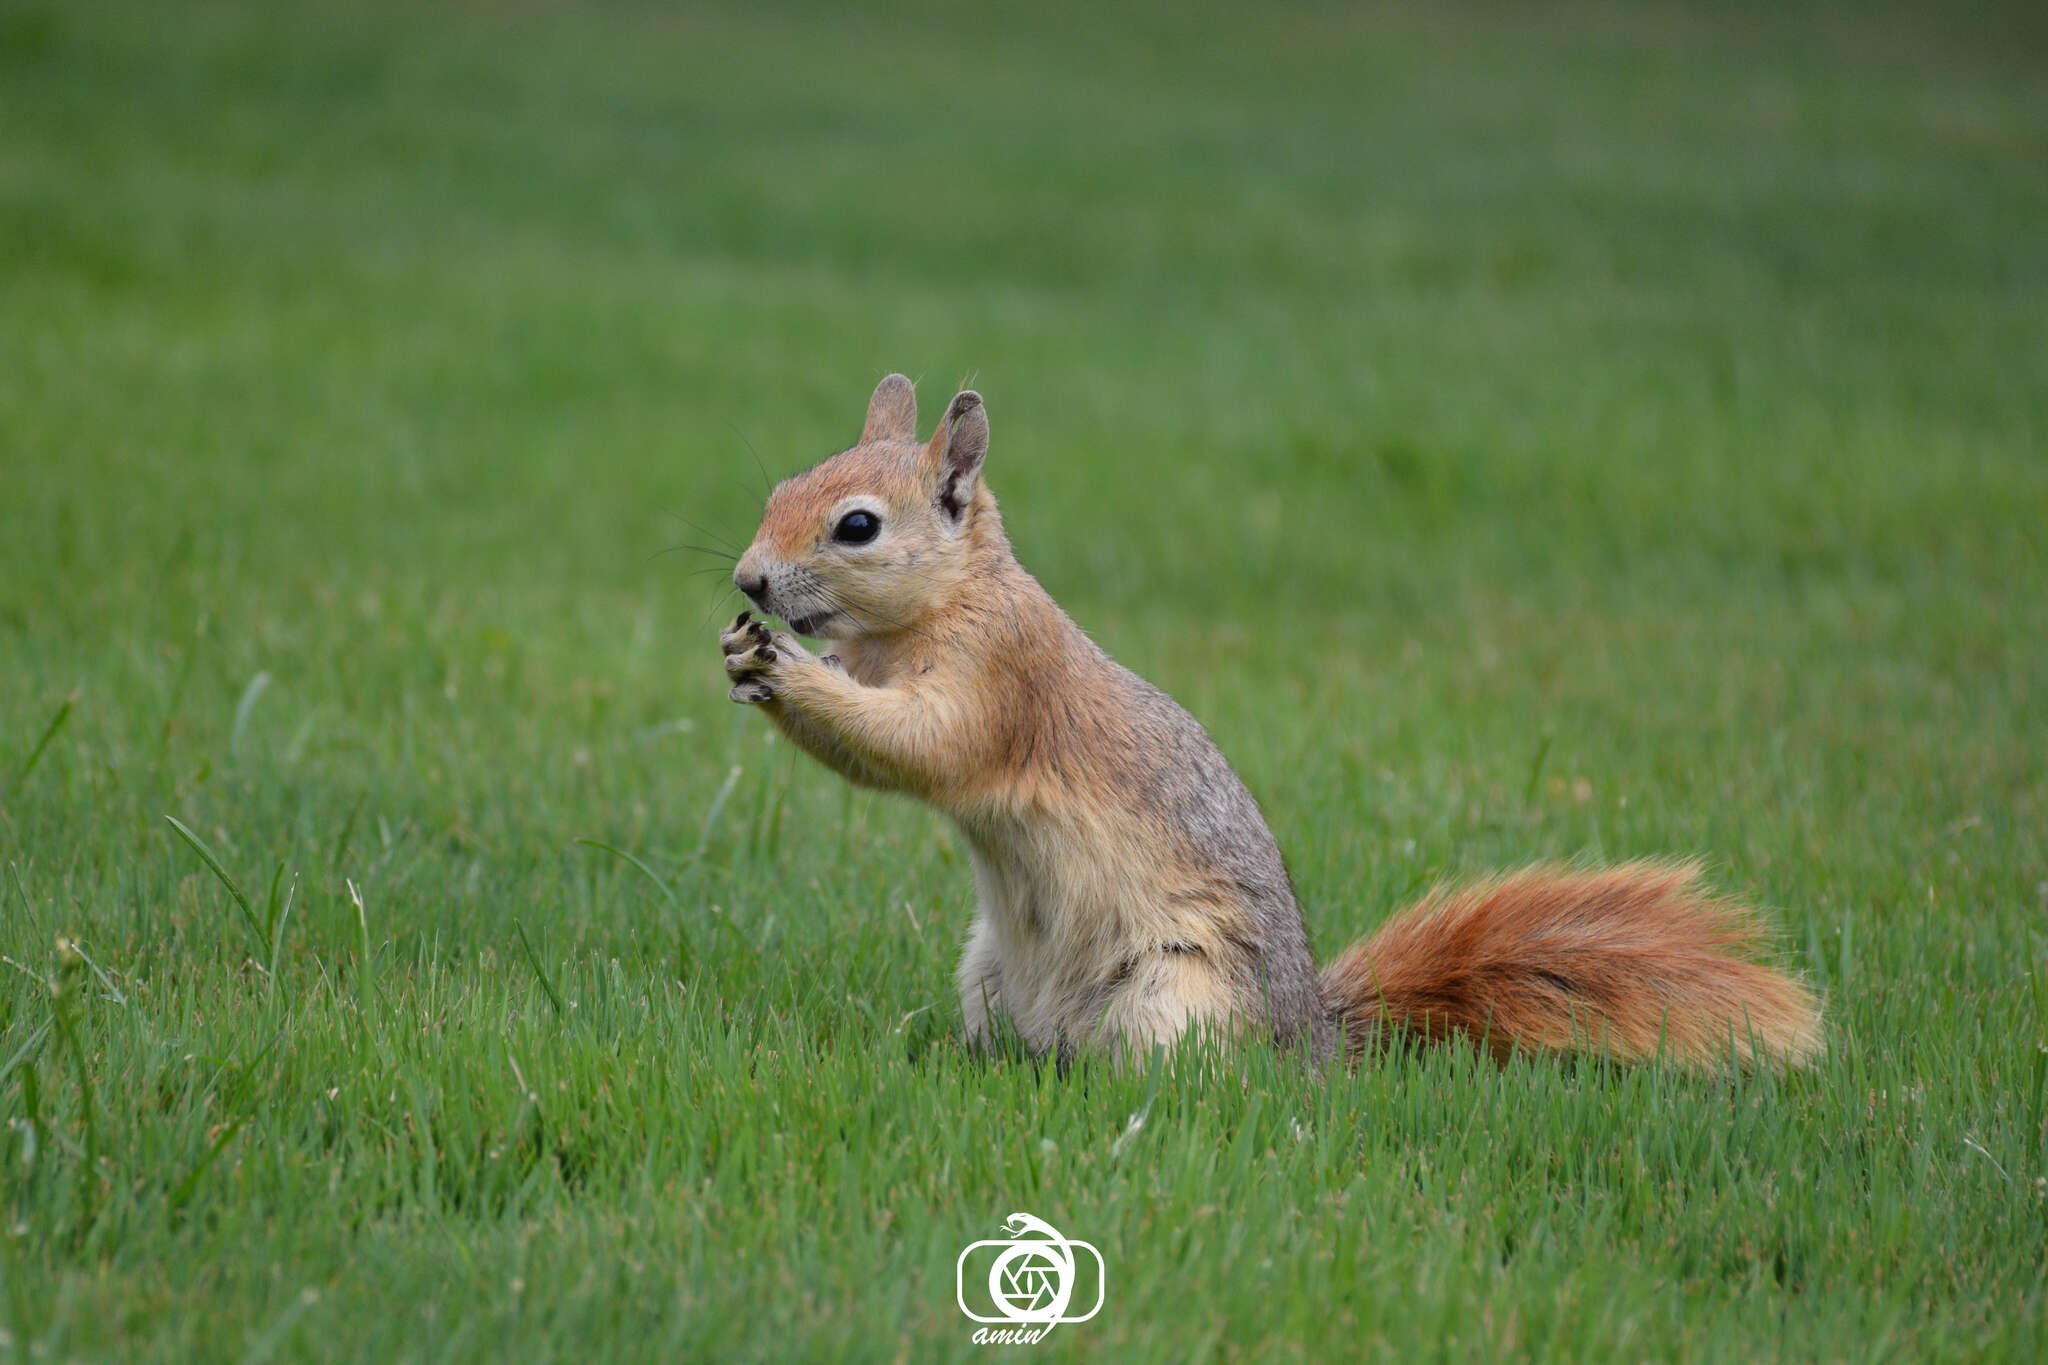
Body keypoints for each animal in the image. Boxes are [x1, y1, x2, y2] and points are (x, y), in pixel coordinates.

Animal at [716, 378, 1826, 1072]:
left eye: (857, 525)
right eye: (778, 489)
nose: (748, 580)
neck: (932, 613)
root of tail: (1308, 1044)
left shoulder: (1001, 679)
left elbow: (924, 749)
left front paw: (784, 670)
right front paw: (746, 657)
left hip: (1177, 994)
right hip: (989, 974)